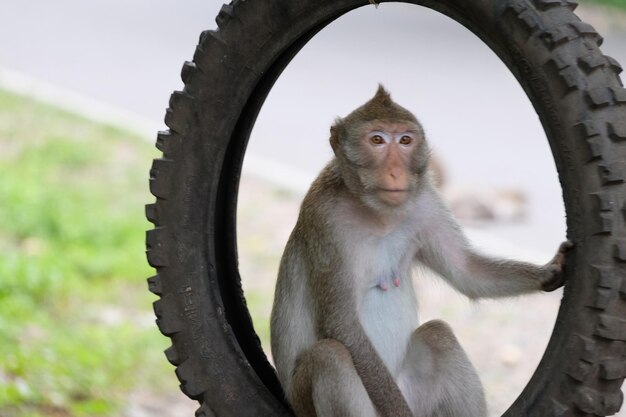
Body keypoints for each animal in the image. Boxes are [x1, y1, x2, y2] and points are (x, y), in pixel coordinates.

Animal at [268, 84, 572, 416]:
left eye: (405, 140)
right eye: (377, 140)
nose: (395, 172)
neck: (378, 215)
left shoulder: (427, 203)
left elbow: (467, 271)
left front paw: (551, 270)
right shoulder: (326, 220)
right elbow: (342, 324)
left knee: (439, 335)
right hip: (311, 401)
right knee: (330, 356)